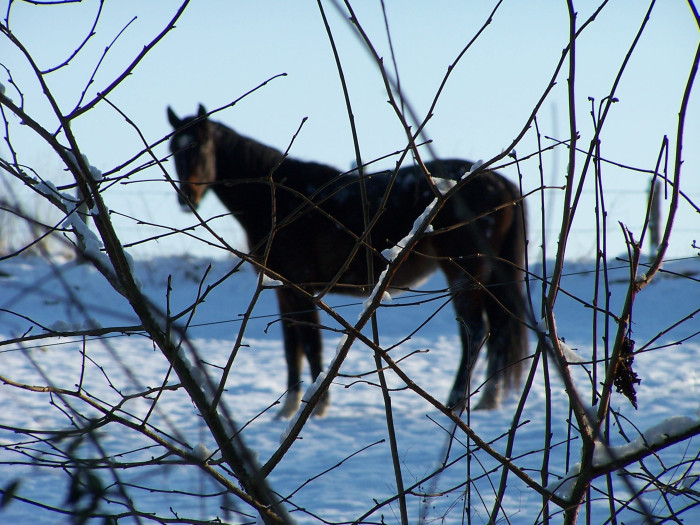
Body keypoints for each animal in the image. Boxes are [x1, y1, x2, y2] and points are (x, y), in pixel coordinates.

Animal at [167, 105, 524, 418]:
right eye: (173, 150)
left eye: (201, 147)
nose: (185, 199)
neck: (277, 201)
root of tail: (500, 183)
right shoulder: (283, 291)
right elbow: (292, 349)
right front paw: (287, 411)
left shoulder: (300, 288)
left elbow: (310, 345)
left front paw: (315, 410)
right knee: (497, 332)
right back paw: (487, 401)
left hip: (463, 273)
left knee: (475, 332)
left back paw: (456, 402)